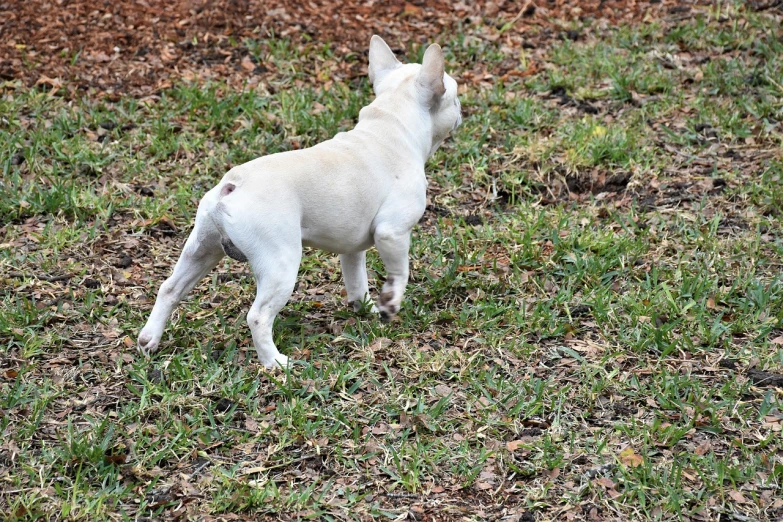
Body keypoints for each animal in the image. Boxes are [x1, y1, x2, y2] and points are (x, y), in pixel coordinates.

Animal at [139, 35, 462, 366]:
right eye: (455, 97)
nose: (461, 110)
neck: (391, 125)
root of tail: (231, 186)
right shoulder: (392, 232)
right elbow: (400, 272)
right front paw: (390, 305)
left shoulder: (352, 249)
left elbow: (357, 282)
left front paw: (367, 309)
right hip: (280, 263)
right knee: (258, 316)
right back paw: (275, 363)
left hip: (202, 248)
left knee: (170, 288)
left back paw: (149, 339)